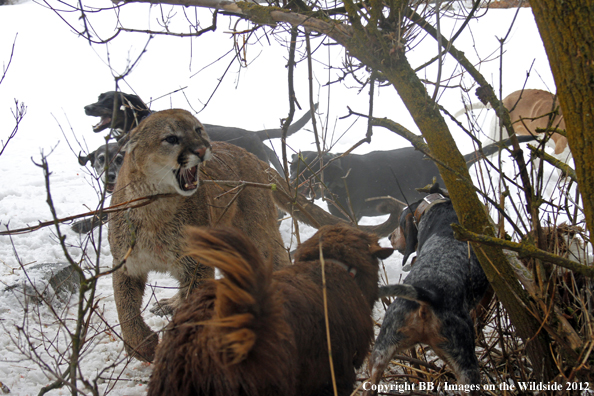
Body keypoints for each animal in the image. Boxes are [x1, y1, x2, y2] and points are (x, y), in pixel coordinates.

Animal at [107, 109, 402, 362]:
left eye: (199, 131)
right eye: (171, 138)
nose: (203, 149)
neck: (155, 211)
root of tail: (251, 156)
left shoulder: (196, 264)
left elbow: (187, 300)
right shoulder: (126, 264)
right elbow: (125, 307)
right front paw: (141, 345)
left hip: (259, 236)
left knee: (279, 262)